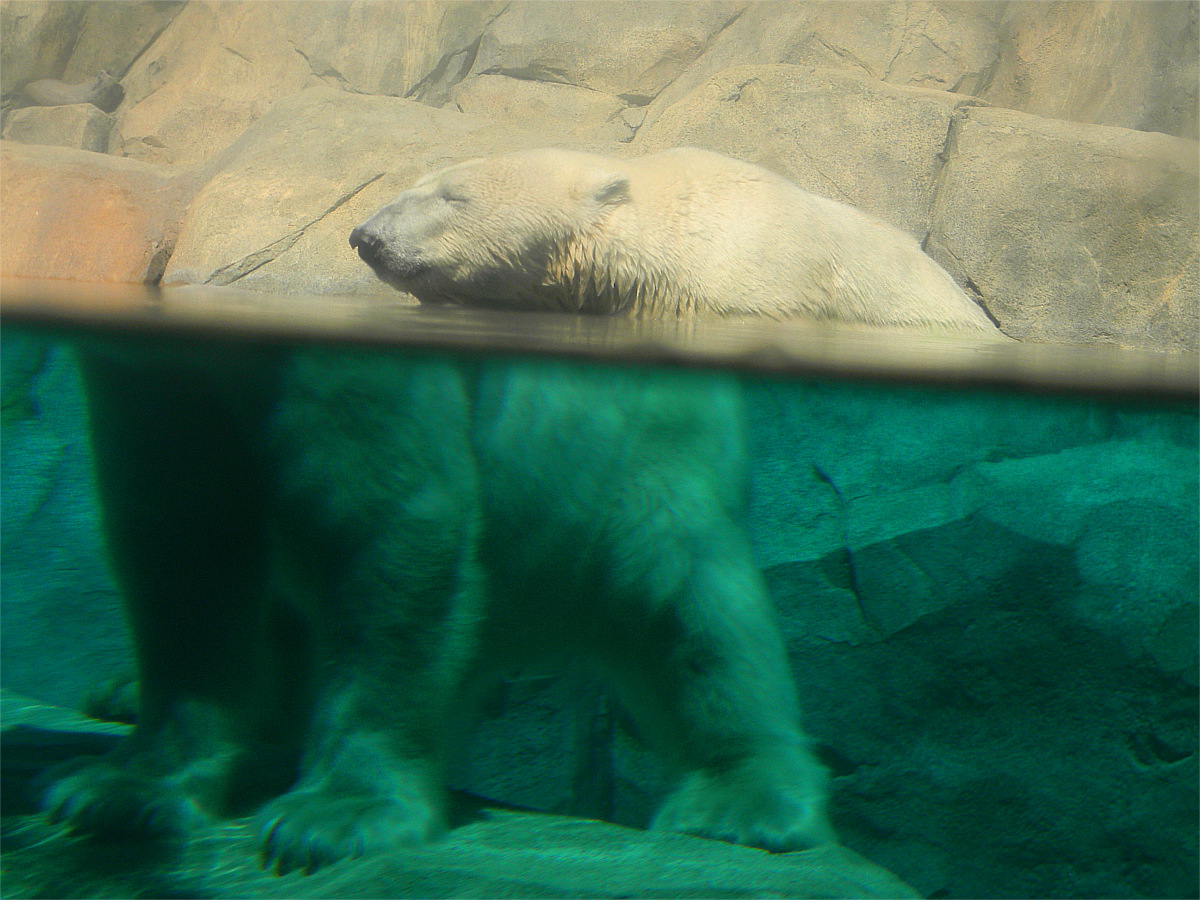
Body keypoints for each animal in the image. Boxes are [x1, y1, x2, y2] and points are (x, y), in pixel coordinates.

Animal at [42, 337, 833, 875]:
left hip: (617, 452)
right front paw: (118, 791)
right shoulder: (156, 375)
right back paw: (124, 691)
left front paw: (330, 817)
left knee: (682, 595)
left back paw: (741, 802)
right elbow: (182, 545)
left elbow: (386, 512)